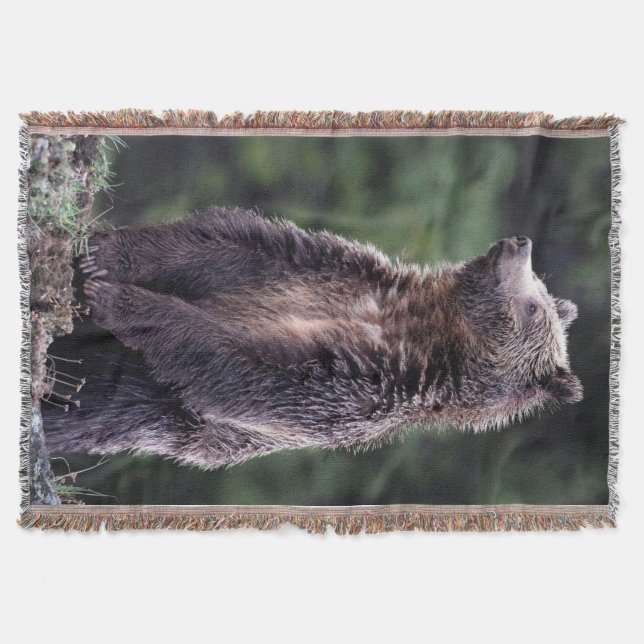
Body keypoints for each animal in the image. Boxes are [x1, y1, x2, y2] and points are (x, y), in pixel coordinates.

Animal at [43, 207, 582, 469]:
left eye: (533, 304)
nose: (519, 242)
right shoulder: (333, 273)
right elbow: (227, 244)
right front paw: (102, 258)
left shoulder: (364, 384)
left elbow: (245, 369)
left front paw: (118, 298)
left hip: (139, 402)